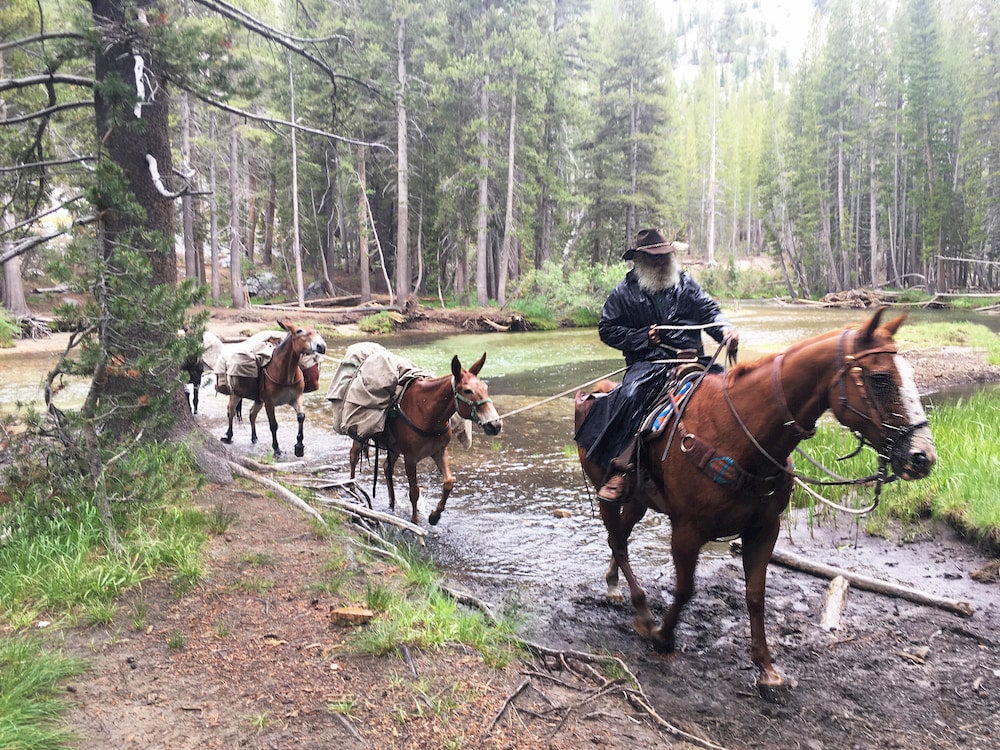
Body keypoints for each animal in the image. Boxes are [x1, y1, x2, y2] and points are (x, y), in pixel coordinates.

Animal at [220, 318, 326, 458]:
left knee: (252, 414)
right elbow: (273, 425)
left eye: (315, 331)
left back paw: (254, 438)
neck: (286, 374)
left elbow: (301, 416)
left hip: (259, 400)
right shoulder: (269, 403)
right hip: (236, 394)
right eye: (299, 331)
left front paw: (299, 447)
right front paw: (276, 449)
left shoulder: (296, 398)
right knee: (230, 412)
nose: (321, 346)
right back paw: (228, 436)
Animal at [350, 354, 500, 524]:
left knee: (387, 467)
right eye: (468, 390)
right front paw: (415, 521)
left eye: (485, 388)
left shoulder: (440, 451)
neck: (428, 412)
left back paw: (392, 503)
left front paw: (434, 516)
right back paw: (352, 490)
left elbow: (449, 482)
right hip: (359, 432)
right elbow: (414, 491)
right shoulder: (410, 458)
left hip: (394, 448)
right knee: (354, 457)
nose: (495, 424)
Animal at [580, 308, 936, 704]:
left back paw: (616, 587)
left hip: (638, 500)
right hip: (606, 491)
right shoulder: (686, 530)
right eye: (880, 377)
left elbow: (755, 596)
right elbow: (685, 588)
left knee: (621, 539)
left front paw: (767, 670)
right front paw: (662, 636)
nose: (922, 457)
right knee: (617, 540)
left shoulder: (765, 529)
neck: (739, 433)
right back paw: (641, 611)